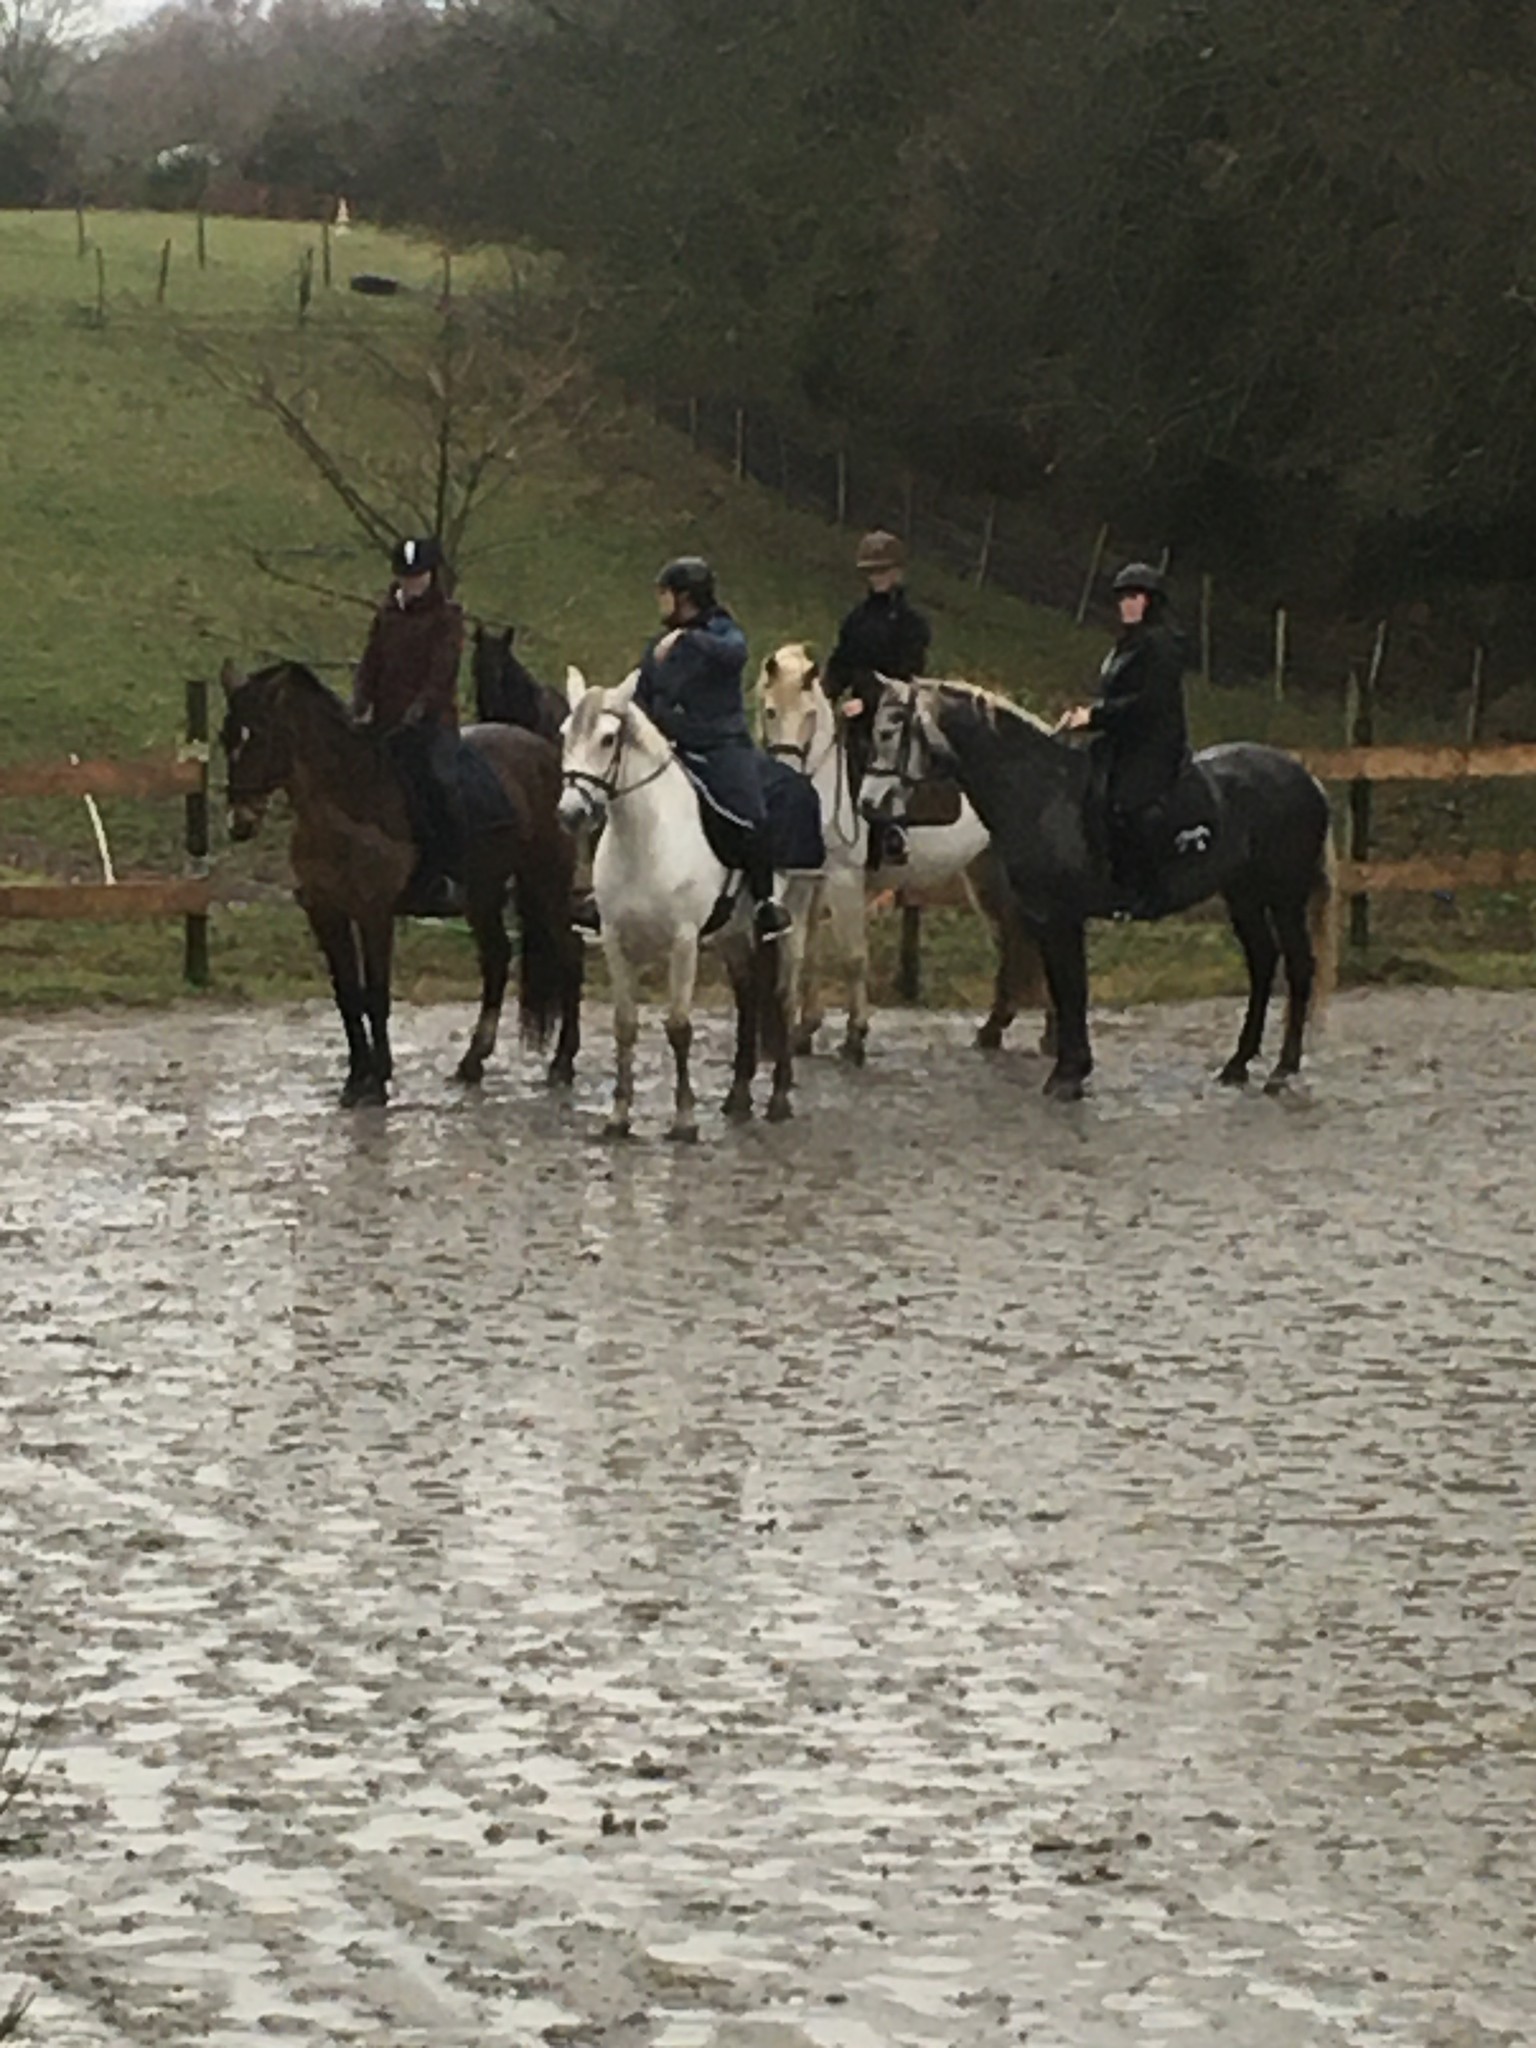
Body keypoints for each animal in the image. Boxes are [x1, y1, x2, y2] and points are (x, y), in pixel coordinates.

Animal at [224, 655, 589, 1105]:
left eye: (259, 737)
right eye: (225, 738)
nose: (240, 823)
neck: (349, 801)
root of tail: (547, 753)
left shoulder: (374, 913)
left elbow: (376, 994)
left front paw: (378, 1080)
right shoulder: (326, 912)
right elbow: (347, 994)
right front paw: (355, 1079)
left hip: (544, 881)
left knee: (570, 953)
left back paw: (562, 1062)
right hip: (483, 892)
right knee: (497, 957)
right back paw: (472, 1061)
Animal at [561, 675, 823, 1146]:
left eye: (608, 739)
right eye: (563, 735)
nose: (570, 812)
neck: (645, 838)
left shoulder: (683, 942)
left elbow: (679, 1027)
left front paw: (684, 1119)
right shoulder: (615, 940)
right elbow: (624, 1026)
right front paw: (618, 1116)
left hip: (793, 915)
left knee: (783, 995)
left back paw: (778, 1099)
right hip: (735, 934)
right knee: (747, 995)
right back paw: (738, 1097)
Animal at [761, 643, 1056, 1064]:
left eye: (809, 715)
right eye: (770, 711)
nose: (785, 773)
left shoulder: (843, 880)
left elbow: (853, 957)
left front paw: (855, 1036)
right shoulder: (806, 880)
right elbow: (801, 952)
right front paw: (800, 1032)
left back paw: (1050, 1036)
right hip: (986, 874)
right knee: (1010, 939)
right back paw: (994, 1028)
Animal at [868, 679, 1335, 1105]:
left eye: (891, 732)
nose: (870, 805)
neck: (1041, 791)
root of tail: (1306, 777)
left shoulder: (1062, 916)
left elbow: (1072, 988)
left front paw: (1067, 1074)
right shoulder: (1043, 917)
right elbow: (1063, 988)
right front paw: (1071, 1067)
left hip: (1285, 897)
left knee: (1298, 967)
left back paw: (1282, 1070)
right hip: (1244, 895)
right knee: (1262, 963)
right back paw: (1238, 1065)